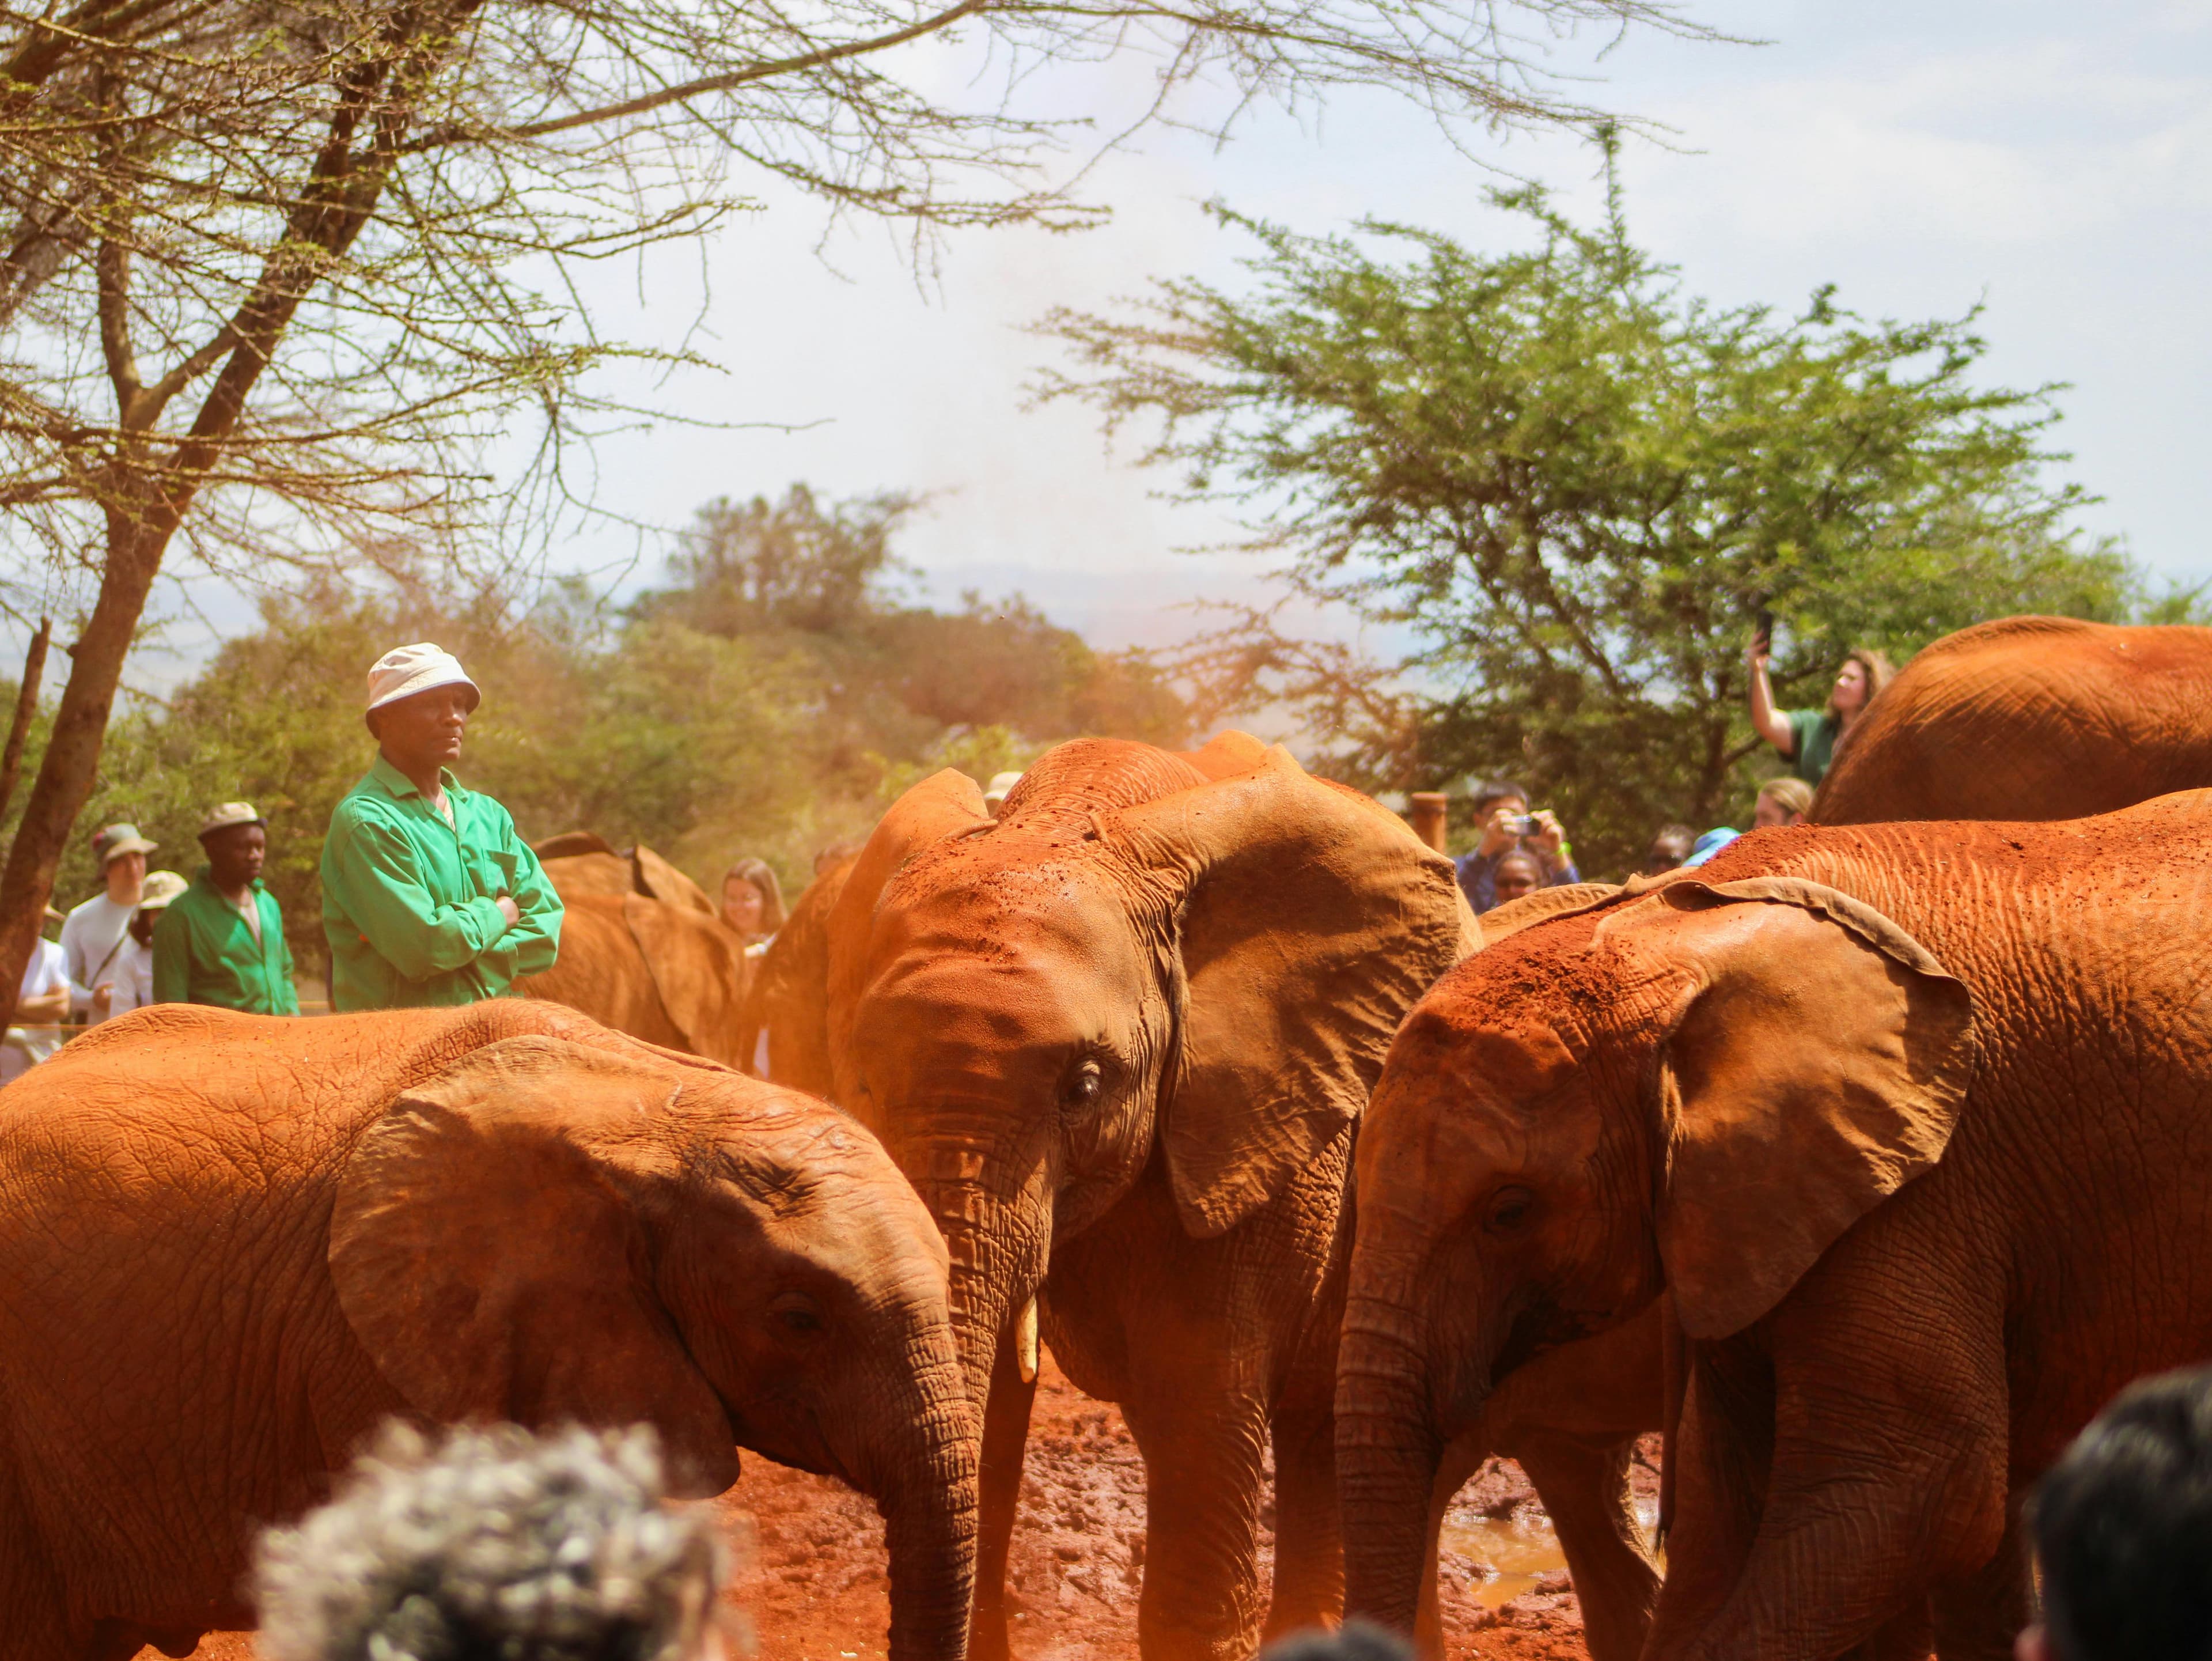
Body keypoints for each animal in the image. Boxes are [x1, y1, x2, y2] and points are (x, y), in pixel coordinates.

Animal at [824, 732, 1475, 1661]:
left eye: (1085, 1087)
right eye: (867, 1080)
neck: (1078, 807)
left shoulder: (1259, 1121)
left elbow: (1201, 1406)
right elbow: (988, 1419)